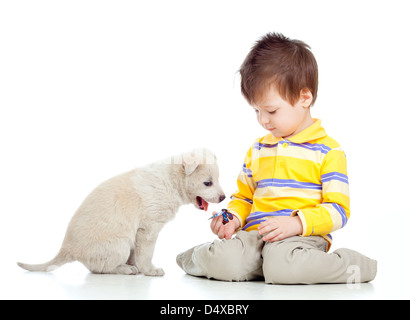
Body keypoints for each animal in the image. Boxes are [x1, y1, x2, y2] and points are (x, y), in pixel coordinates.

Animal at [17, 148, 226, 276]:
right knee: (101, 268)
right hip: (120, 244)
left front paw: (138, 266)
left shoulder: (139, 234)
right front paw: (150, 270)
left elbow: (137, 255)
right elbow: (146, 254)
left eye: (217, 179)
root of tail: (67, 249)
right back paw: (125, 270)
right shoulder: (148, 230)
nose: (223, 197)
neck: (171, 181)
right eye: (207, 183)